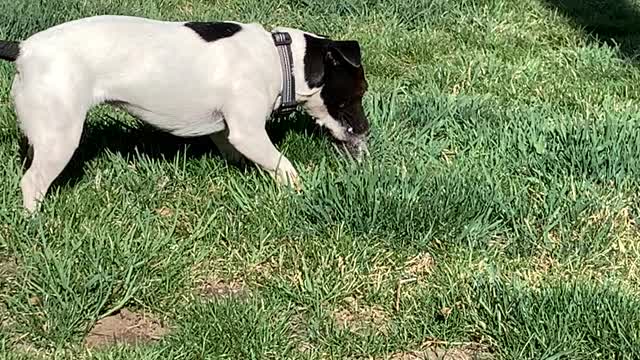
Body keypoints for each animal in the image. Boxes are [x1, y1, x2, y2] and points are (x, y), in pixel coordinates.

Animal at [0, 15, 370, 212]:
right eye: (359, 92)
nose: (367, 131)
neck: (282, 59)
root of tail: (25, 49)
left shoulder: (226, 131)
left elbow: (231, 149)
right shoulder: (248, 132)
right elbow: (283, 164)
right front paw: (300, 190)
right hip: (61, 138)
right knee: (32, 181)